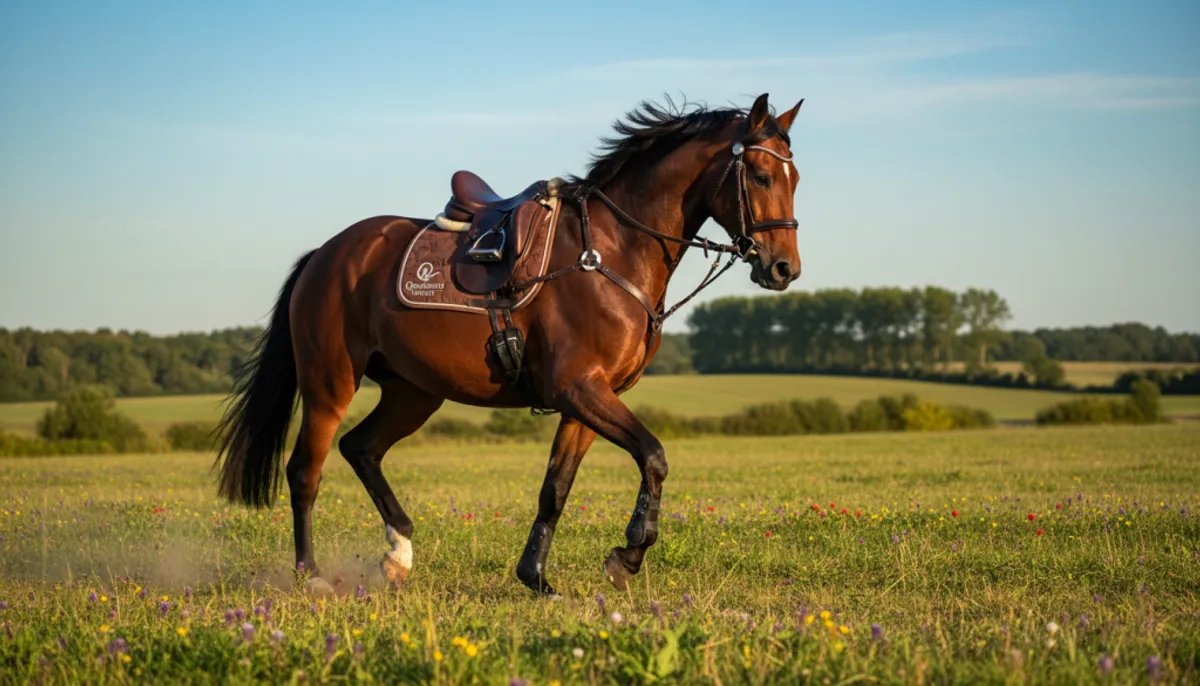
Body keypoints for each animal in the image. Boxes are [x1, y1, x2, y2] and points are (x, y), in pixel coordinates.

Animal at [212, 92, 805, 597]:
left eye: (795, 177)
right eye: (759, 174)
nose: (784, 269)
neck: (610, 250)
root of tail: (325, 253)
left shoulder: (590, 399)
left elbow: (556, 488)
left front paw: (536, 576)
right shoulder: (578, 388)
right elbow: (654, 457)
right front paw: (628, 556)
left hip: (414, 392)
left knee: (361, 448)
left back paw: (399, 553)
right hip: (330, 383)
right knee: (305, 472)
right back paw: (311, 575)